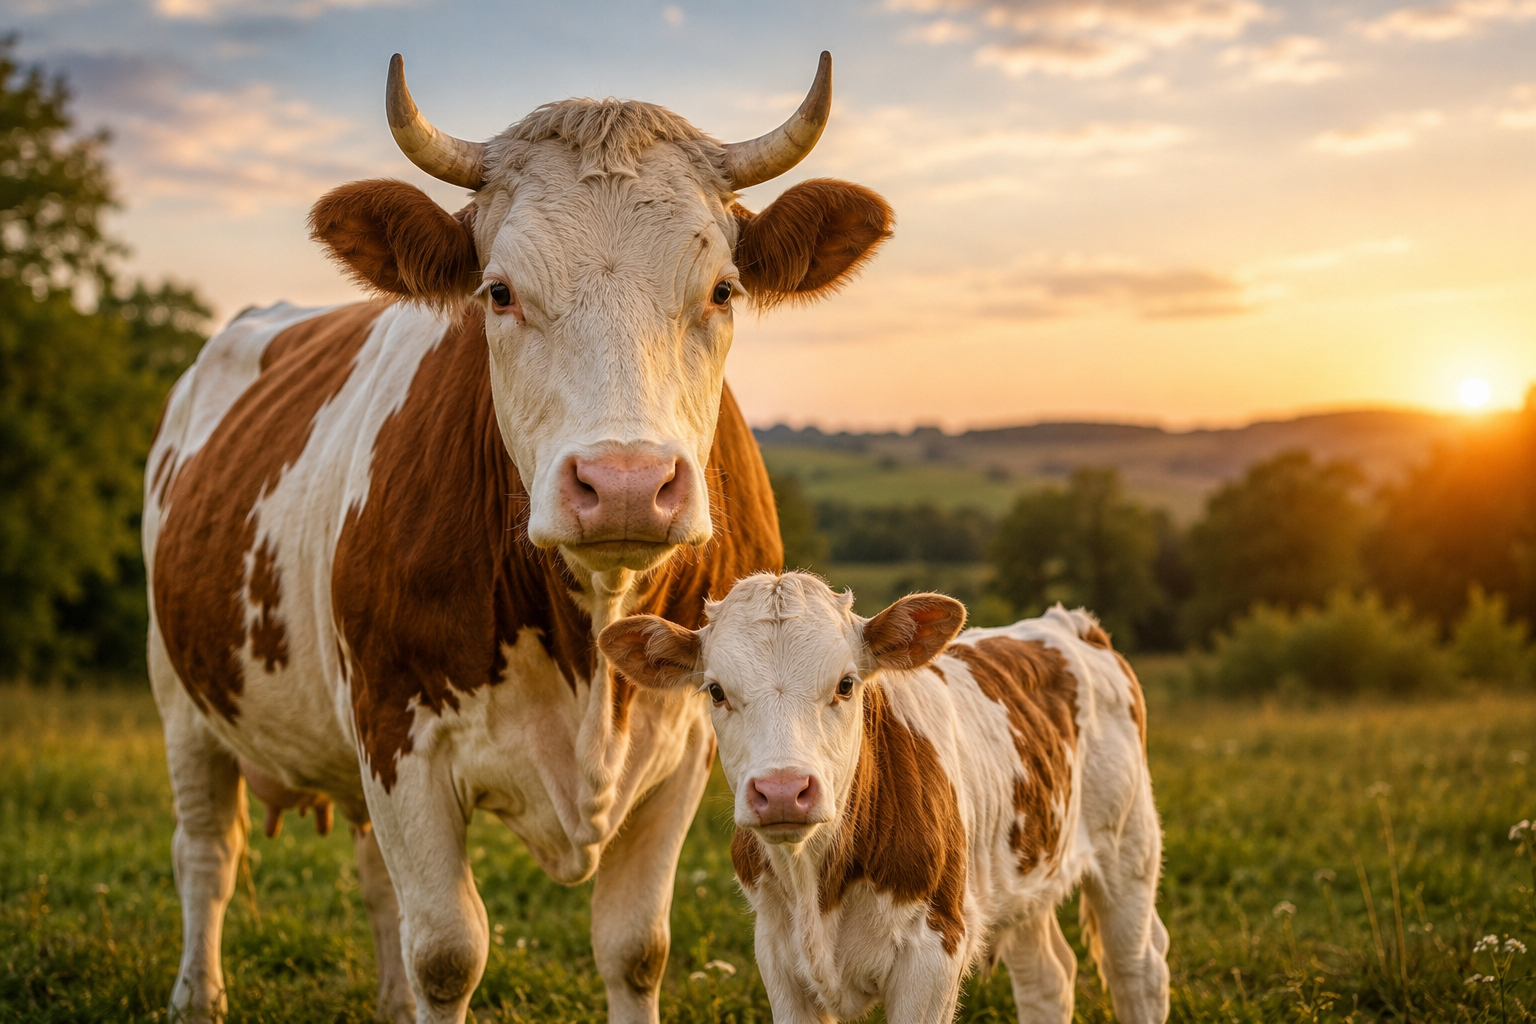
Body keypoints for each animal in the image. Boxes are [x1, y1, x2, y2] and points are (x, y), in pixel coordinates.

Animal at [143, 53, 894, 1024]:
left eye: (722, 289)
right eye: (497, 292)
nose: (624, 484)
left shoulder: (690, 751)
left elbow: (634, 947)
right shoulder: (398, 733)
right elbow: (447, 953)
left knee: (370, 879)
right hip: (181, 696)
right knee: (207, 853)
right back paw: (197, 994)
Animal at [601, 572, 1171, 1024]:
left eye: (846, 684)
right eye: (717, 691)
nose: (783, 791)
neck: (817, 884)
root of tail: (1067, 624)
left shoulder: (935, 951)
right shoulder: (777, 955)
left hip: (1129, 848)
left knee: (1138, 968)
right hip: (1026, 873)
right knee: (1048, 976)